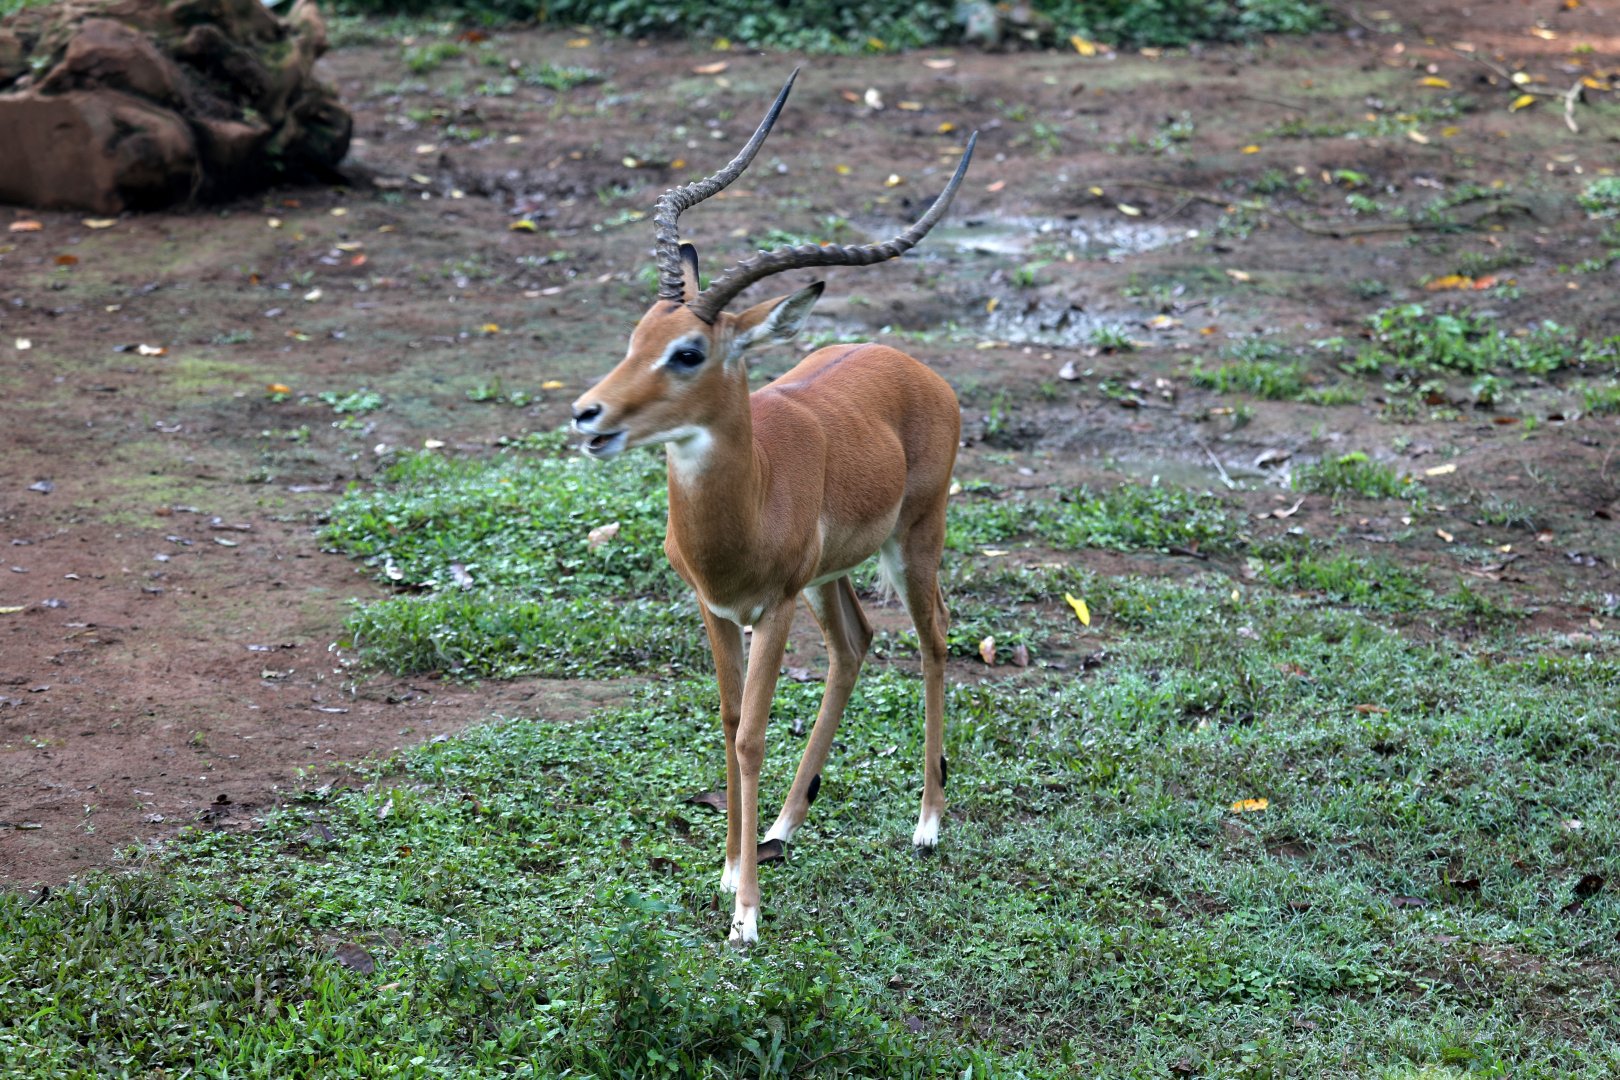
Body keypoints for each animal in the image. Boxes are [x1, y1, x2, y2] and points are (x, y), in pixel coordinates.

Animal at [571, 70, 974, 945]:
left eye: (688, 352)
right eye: (635, 335)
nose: (589, 415)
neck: (746, 501)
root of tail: (916, 366)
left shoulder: (774, 606)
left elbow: (754, 734)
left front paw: (746, 920)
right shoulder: (716, 608)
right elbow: (728, 722)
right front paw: (730, 870)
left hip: (914, 542)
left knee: (934, 638)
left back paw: (928, 824)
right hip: (831, 578)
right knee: (856, 646)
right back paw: (784, 827)